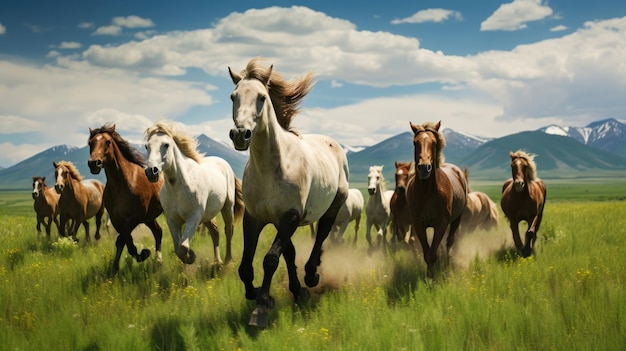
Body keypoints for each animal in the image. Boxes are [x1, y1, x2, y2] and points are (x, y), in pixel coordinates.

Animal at [89, 124, 166, 276]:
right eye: (90, 143)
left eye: (108, 142)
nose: (94, 163)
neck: (122, 184)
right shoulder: (117, 219)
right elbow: (126, 240)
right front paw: (141, 254)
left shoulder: (134, 217)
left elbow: (121, 239)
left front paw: (142, 254)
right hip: (149, 218)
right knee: (158, 231)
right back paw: (158, 261)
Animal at [144, 122, 244, 266]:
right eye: (147, 146)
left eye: (166, 144)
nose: (151, 171)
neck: (179, 187)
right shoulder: (172, 220)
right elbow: (178, 247)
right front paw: (190, 255)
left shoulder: (194, 217)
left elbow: (182, 246)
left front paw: (191, 256)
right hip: (207, 215)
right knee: (215, 232)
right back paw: (217, 261)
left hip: (227, 207)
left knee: (228, 230)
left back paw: (228, 261)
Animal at [228, 58, 348, 330]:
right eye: (233, 96)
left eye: (262, 97)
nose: (240, 135)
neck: (272, 168)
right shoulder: (256, 218)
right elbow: (245, 266)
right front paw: (256, 292)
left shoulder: (290, 216)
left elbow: (271, 259)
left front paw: (262, 306)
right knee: (290, 251)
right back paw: (299, 289)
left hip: (334, 204)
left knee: (322, 233)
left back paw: (311, 275)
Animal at [402, 121, 466, 278]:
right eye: (415, 142)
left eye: (434, 142)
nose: (424, 168)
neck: (427, 193)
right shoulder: (419, 225)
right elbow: (427, 253)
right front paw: (429, 276)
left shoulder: (441, 224)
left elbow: (433, 253)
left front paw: (433, 277)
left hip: (456, 220)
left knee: (449, 242)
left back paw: (447, 261)